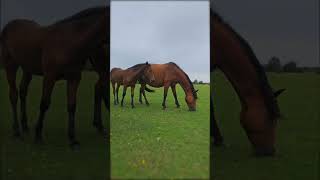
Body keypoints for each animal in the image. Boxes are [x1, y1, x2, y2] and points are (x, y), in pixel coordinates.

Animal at [0, 5, 110, 149]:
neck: (70, 42)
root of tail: (8, 26)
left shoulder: (74, 78)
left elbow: (72, 106)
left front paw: (73, 139)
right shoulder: (49, 77)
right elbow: (44, 103)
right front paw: (38, 135)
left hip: (27, 69)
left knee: (23, 92)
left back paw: (25, 126)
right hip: (10, 65)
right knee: (13, 95)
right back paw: (17, 131)